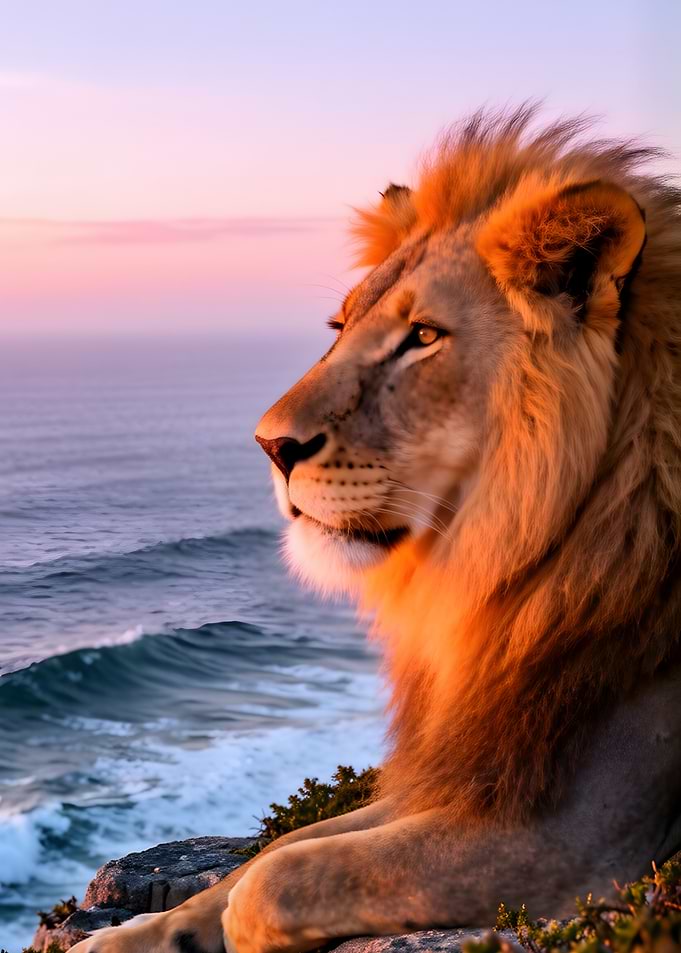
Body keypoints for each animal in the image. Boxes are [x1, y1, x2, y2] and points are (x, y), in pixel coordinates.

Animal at [71, 106, 681, 953]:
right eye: (340, 324)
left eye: (421, 336)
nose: (270, 445)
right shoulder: (457, 767)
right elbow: (271, 852)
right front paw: (131, 932)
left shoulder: (583, 840)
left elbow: (271, 882)